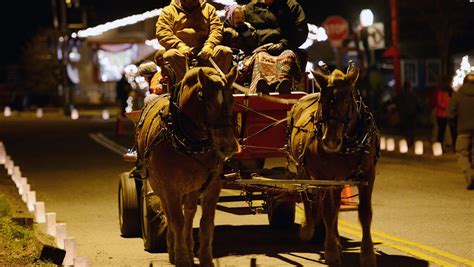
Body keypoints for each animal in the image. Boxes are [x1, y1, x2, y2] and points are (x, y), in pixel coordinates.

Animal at [135, 66, 239, 266]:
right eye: (207, 103)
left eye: (232, 100)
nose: (228, 146)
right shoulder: (170, 188)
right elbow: (176, 221)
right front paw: (181, 257)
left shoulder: (213, 184)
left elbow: (206, 223)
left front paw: (205, 258)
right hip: (157, 185)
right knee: (169, 213)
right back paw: (174, 249)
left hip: (192, 187)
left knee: (190, 212)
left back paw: (190, 249)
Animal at [286, 65, 380, 267]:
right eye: (323, 101)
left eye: (346, 100)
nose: (330, 141)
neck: (347, 144)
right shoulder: (326, 178)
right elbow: (328, 212)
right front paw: (330, 251)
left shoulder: (368, 175)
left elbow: (365, 213)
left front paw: (367, 254)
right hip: (302, 169)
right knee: (307, 197)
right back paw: (308, 228)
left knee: (335, 205)